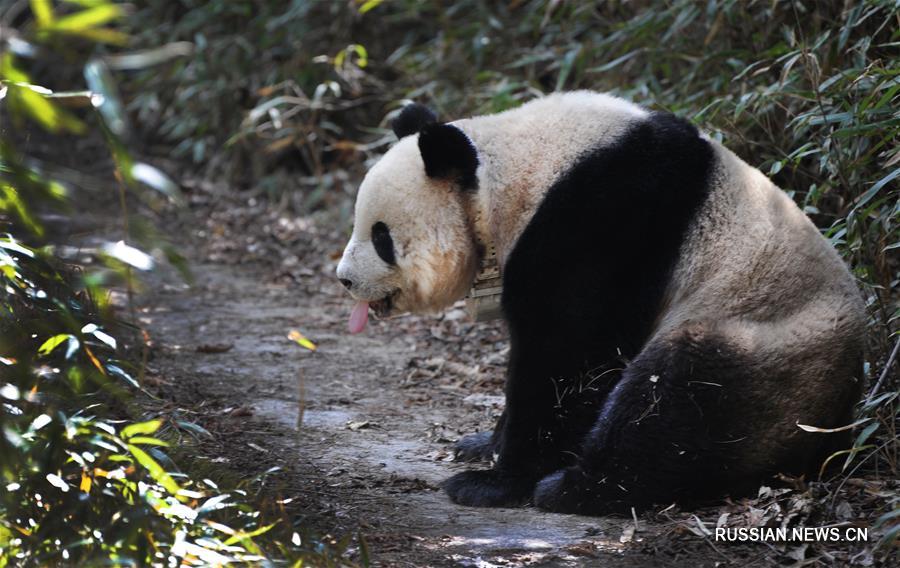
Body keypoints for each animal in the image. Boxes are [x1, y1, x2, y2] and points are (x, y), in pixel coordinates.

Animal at [336, 91, 864, 512]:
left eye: (380, 236)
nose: (344, 279)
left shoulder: (603, 217)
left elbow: (569, 353)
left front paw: (494, 482)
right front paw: (483, 443)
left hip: (768, 347)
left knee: (678, 399)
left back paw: (575, 489)